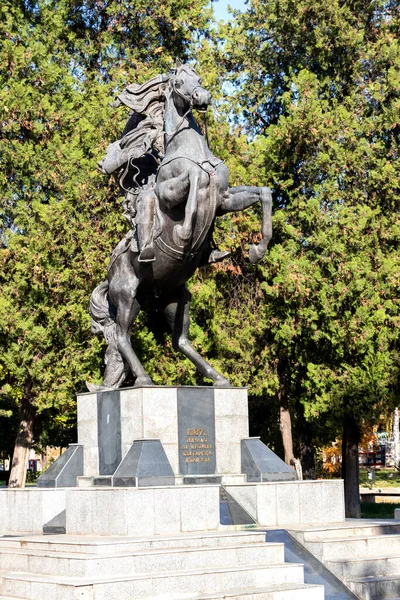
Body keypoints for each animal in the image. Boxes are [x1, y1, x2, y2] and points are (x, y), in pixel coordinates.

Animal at [88, 63, 272, 392]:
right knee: (122, 336)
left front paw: (258, 250)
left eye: (197, 78)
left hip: (174, 299)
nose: (202, 96)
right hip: (127, 295)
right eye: (178, 82)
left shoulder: (224, 199)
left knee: (180, 341)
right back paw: (145, 380)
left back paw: (219, 378)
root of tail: (109, 275)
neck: (191, 150)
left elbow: (264, 193)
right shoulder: (170, 192)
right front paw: (186, 233)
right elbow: (194, 181)